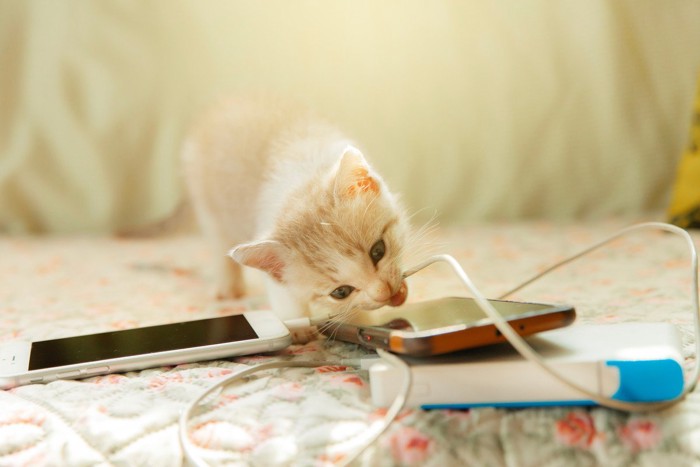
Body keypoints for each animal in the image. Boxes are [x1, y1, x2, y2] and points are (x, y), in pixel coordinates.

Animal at [180, 96, 410, 326]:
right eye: (341, 292)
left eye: (378, 251)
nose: (384, 292)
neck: (301, 179)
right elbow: (290, 307)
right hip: (208, 205)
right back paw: (228, 288)